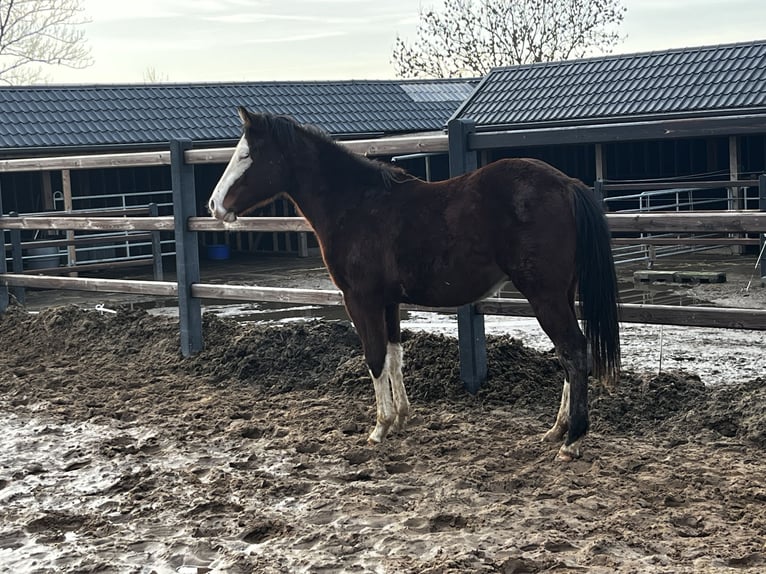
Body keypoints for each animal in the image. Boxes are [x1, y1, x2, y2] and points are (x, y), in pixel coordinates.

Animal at [208, 107, 621, 461]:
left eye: (247, 155)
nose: (214, 205)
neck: (357, 205)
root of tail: (566, 184)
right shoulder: (389, 302)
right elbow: (394, 355)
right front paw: (401, 418)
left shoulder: (360, 300)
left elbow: (374, 357)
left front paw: (379, 429)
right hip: (562, 293)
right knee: (570, 355)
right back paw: (557, 430)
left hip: (544, 295)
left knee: (573, 351)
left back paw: (572, 441)